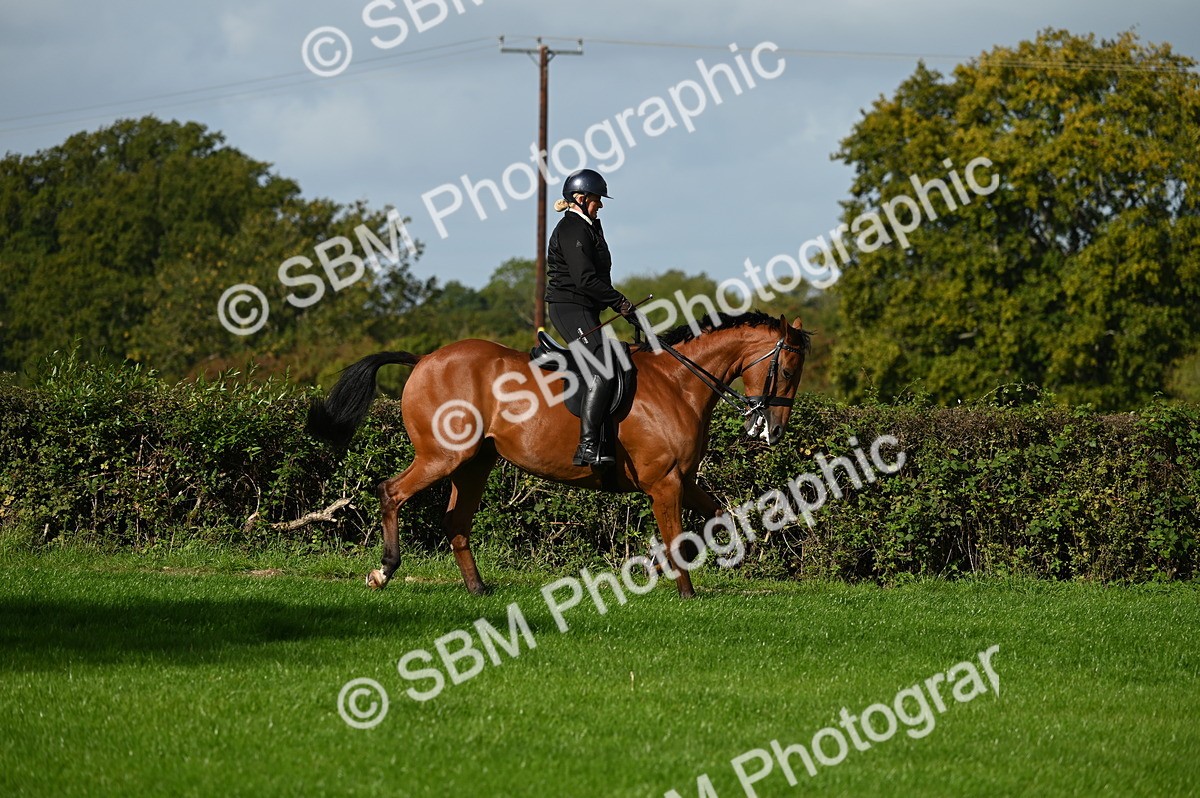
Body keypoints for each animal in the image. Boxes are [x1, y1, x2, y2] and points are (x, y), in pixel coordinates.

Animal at [306, 310, 812, 598]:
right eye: (787, 370)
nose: (773, 430)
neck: (678, 382)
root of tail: (425, 360)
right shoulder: (665, 482)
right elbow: (677, 536)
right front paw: (685, 591)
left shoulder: (684, 480)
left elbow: (715, 517)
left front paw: (659, 568)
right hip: (441, 457)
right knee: (391, 492)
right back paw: (384, 572)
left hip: (474, 463)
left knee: (455, 521)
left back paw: (478, 588)